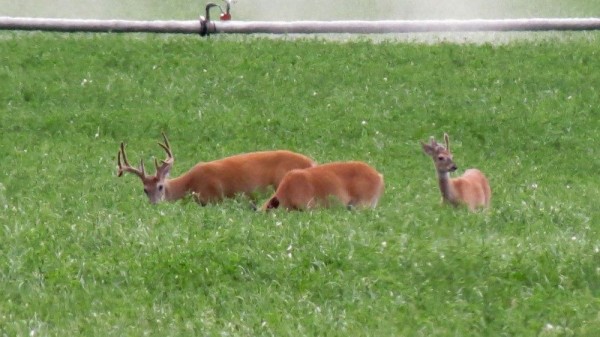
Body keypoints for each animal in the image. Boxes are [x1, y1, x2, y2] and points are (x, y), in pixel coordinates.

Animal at [115, 133, 316, 205]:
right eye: (144, 190)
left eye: (160, 187)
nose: (155, 205)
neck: (189, 185)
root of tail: (312, 163)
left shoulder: (212, 197)